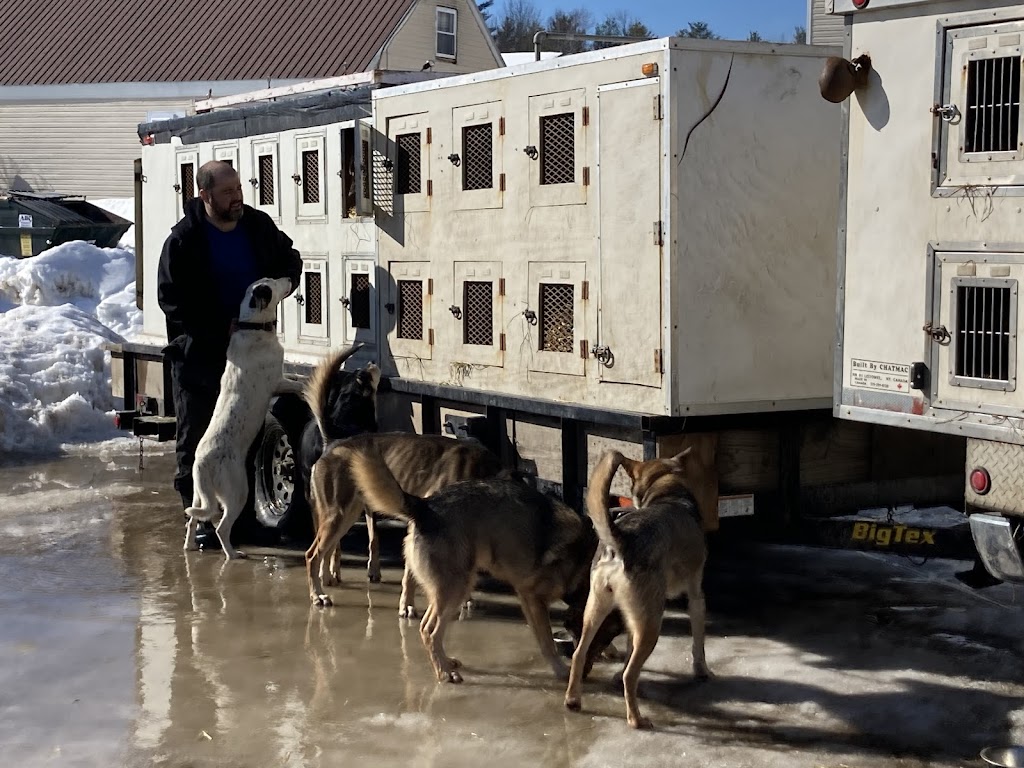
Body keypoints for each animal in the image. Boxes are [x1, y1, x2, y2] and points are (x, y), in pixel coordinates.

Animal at [307, 436, 507, 618]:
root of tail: (329, 449)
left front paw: (465, 599)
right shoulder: (420, 520)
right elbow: (410, 577)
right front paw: (407, 606)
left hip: (347, 516)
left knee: (326, 551)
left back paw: (327, 580)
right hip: (338, 517)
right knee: (312, 556)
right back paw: (317, 595)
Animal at [339, 444, 598, 684]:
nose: (585, 674)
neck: (584, 562)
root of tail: (425, 507)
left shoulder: (529, 599)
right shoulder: (533, 597)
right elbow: (546, 640)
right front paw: (561, 670)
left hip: (452, 587)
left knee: (427, 626)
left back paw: (446, 662)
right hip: (456, 588)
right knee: (429, 630)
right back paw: (444, 673)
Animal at [561, 454, 712, 729]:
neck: (667, 491)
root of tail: (621, 541)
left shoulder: (633, 618)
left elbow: (628, 649)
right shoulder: (696, 596)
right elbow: (698, 643)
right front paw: (702, 671)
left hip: (596, 611)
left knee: (579, 655)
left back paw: (573, 700)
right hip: (652, 622)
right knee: (631, 675)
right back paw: (636, 719)